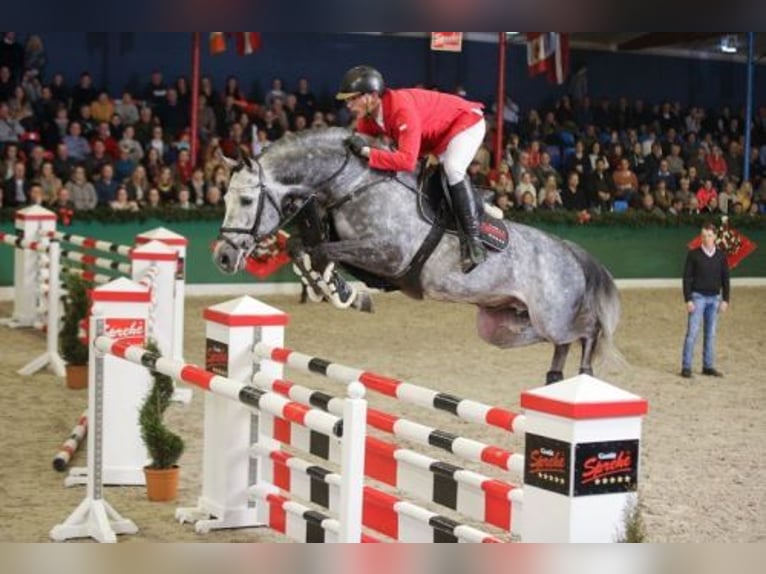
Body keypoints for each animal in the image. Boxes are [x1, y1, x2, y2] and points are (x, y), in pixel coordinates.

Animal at [213, 128, 620, 384]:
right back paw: (555, 379)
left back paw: (583, 375)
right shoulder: (373, 263)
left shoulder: (388, 255)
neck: (356, 185)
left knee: (587, 330)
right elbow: (305, 248)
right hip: (502, 325)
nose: (223, 257)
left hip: (551, 315)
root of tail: (571, 251)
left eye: (246, 200)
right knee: (559, 341)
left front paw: (334, 288)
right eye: (225, 198)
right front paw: (339, 290)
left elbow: (316, 248)